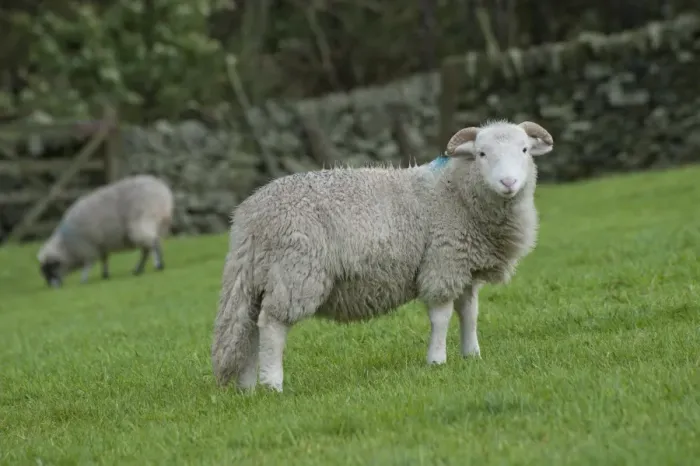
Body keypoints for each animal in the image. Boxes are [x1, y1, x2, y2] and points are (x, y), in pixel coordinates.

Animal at [37, 174, 174, 288]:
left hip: (143, 221)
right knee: (149, 247)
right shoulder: (101, 245)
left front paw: (84, 279)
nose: (52, 287)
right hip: (158, 225)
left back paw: (156, 265)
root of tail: (163, 191)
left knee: (152, 244)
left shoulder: (87, 248)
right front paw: (105, 274)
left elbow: (88, 264)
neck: (66, 246)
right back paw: (141, 269)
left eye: (50, 268)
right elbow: (104, 259)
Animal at [211, 119, 554, 392]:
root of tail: (250, 215)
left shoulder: (464, 267)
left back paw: (247, 387)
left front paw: (472, 354)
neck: (455, 192)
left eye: (525, 150)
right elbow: (441, 316)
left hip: (260, 276)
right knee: (272, 326)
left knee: (249, 328)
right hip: (296, 270)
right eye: (482, 154)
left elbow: (469, 312)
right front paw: (437, 360)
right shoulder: (442, 262)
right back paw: (273, 384)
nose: (508, 182)